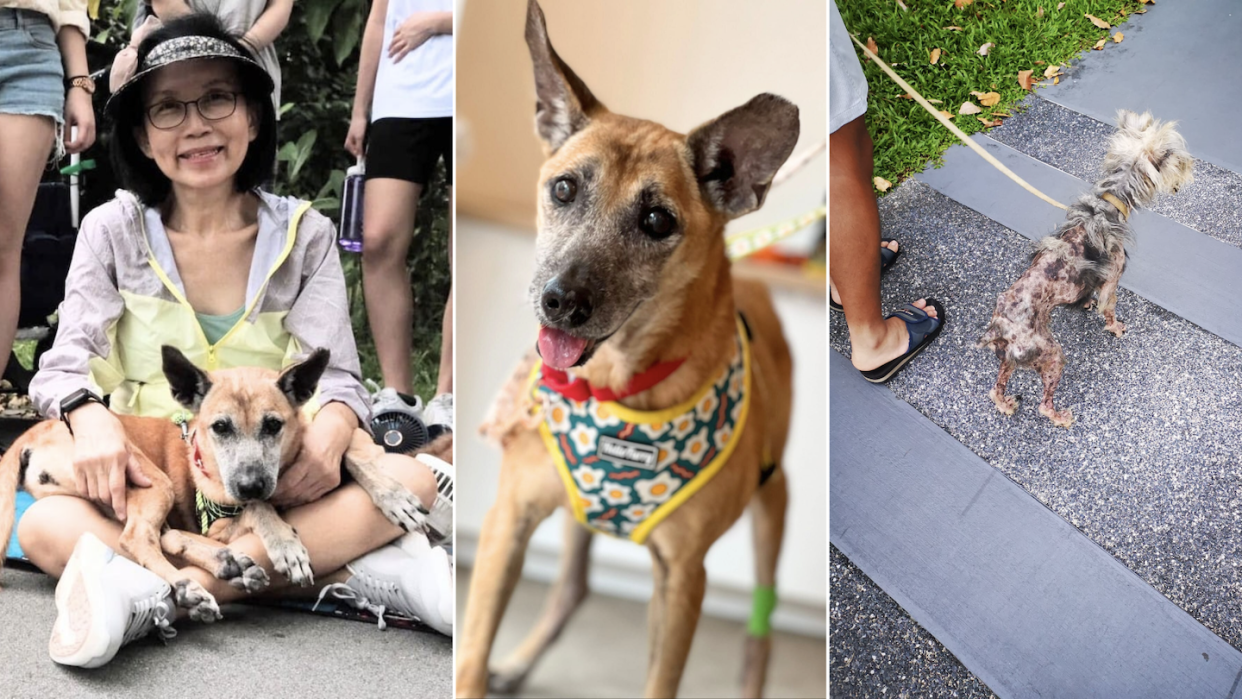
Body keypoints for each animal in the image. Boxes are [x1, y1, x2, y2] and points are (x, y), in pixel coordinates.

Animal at [462, 2, 799, 695]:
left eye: (656, 221)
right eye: (564, 189)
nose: (560, 302)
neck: (618, 386)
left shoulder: (684, 578)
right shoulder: (508, 521)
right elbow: (471, 656)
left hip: (772, 510)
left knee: (759, 636)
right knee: (571, 587)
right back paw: (518, 664)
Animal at [978, 110, 1192, 427]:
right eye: (1177, 157)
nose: (1191, 165)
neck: (1108, 203)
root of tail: (998, 329)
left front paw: (1085, 304)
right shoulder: (1112, 281)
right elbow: (1109, 309)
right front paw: (1115, 327)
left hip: (1011, 358)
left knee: (996, 388)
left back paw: (1005, 405)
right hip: (1052, 354)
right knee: (1043, 405)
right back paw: (1060, 417)